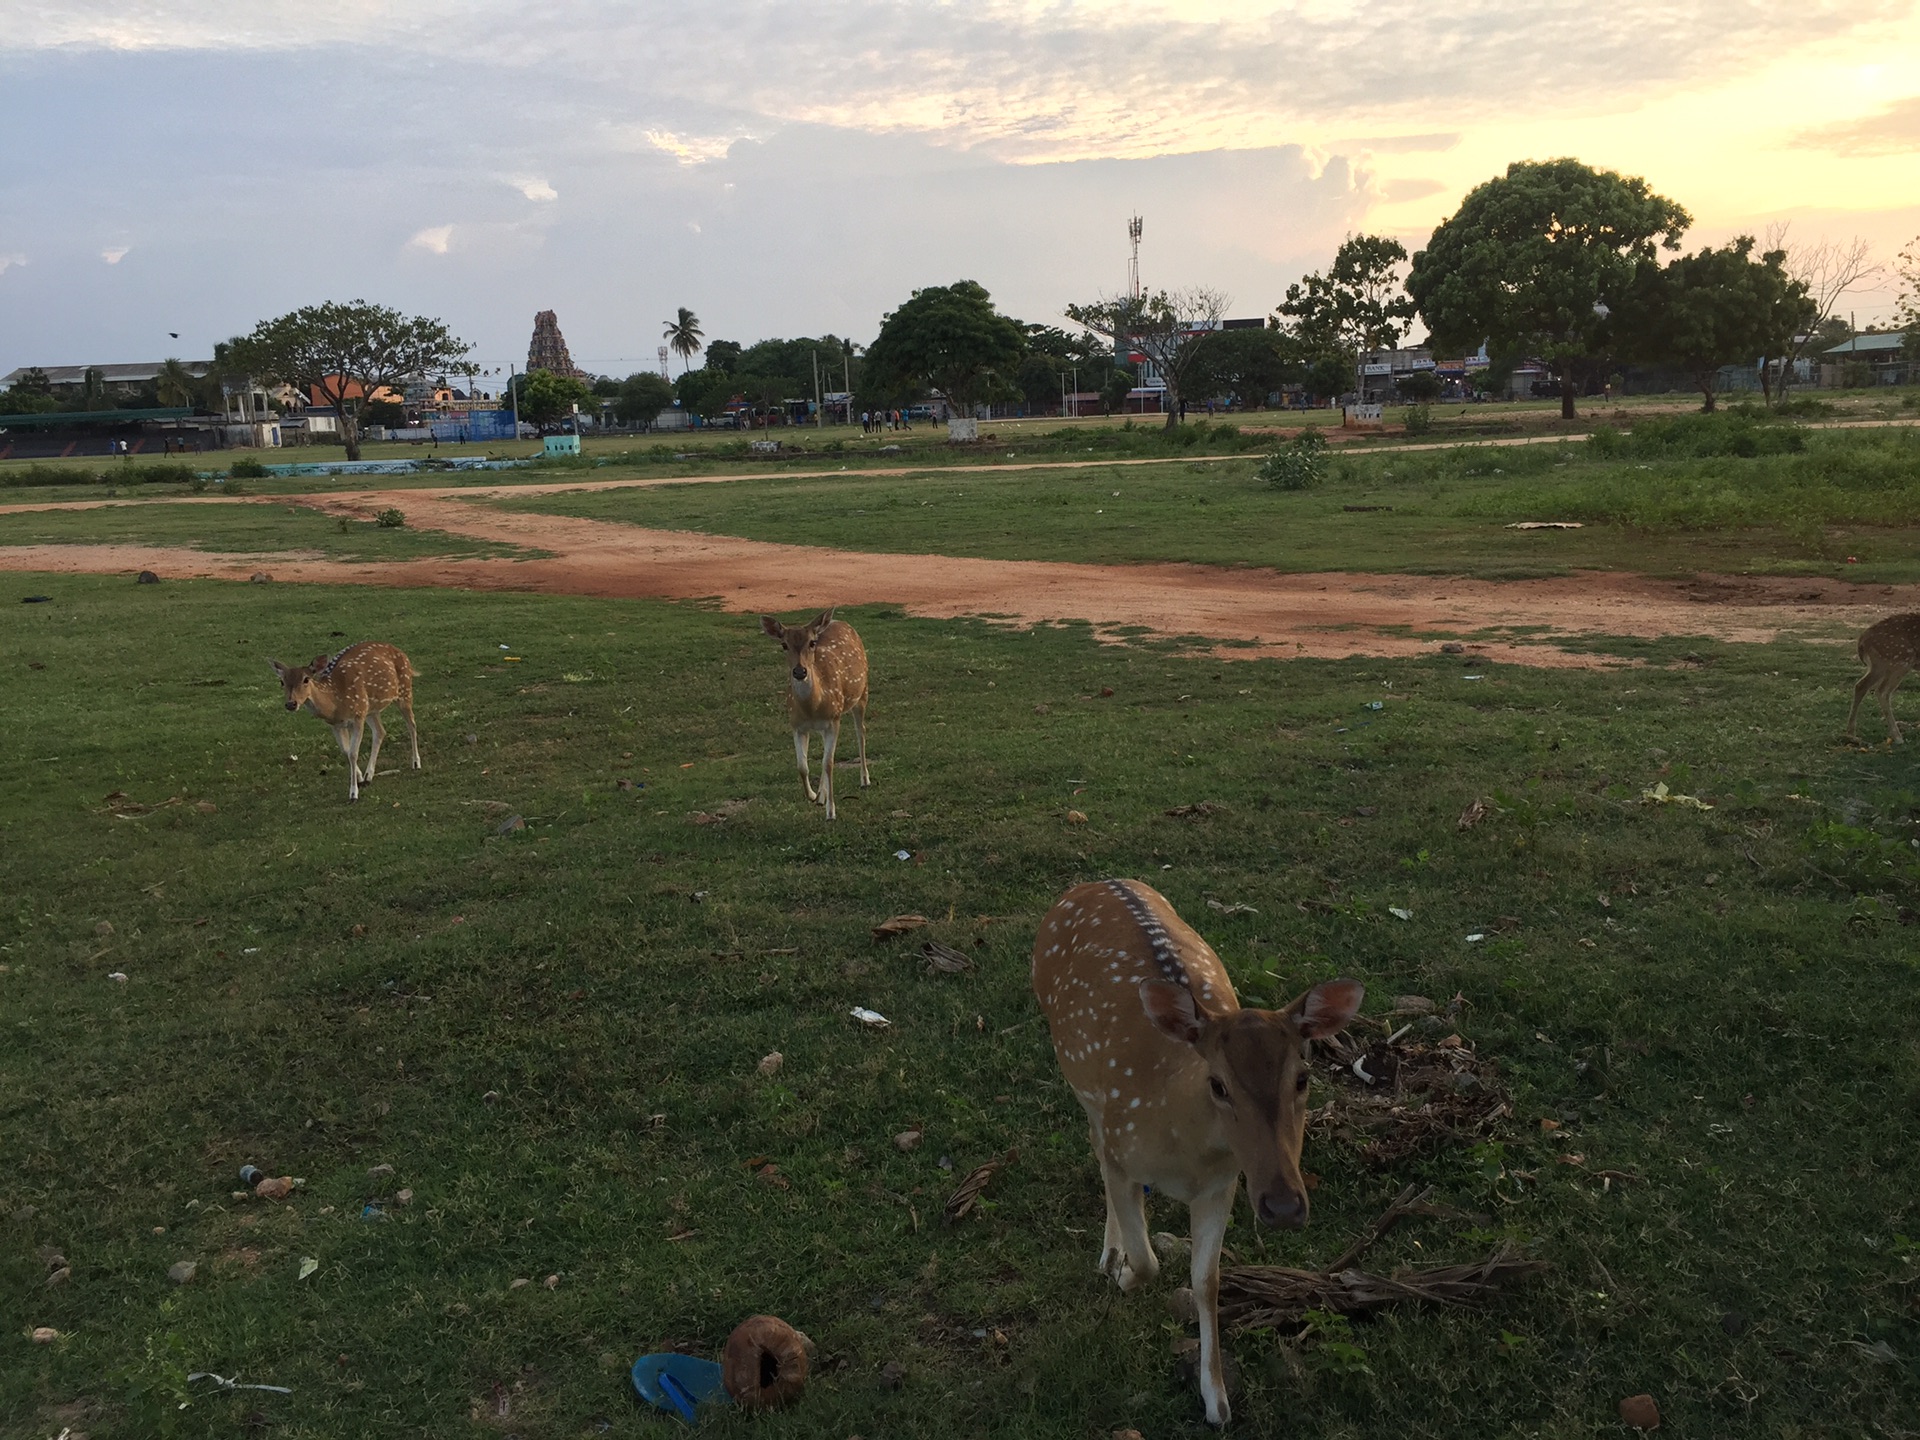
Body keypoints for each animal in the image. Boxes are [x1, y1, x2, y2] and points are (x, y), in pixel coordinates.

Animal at [266, 641, 420, 802]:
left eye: (306, 679)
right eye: (282, 682)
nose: (291, 704)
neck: (336, 703)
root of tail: (400, 651)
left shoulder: (358, 716)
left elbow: (353, 753)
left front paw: (353, 793)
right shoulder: (336, 725)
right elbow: (346, 751)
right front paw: (360, 778)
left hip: (404, 690)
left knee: (411, 724)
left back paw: (416, 763)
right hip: (371, 708)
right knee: (380, 731)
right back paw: (369, 775)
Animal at [756, 606, 871, 821]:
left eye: (811, 642)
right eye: (784, 644)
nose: (800, 671)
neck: (812, 707)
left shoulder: (833, 720)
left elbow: (829, 764)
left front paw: (831, 812)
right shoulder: (797, 725)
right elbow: (802, 766)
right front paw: (812, 796)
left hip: (862, 693)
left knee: (861, 733)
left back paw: (865, 780)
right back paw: (821, 796)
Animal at [1036, 879, 1367, 1436]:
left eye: (1304, 1077)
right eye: (1218, 1083)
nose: (1283, 1206)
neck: (1184, 1154)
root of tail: (1096, 882)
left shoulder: (1223, 1184)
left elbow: (1206, 1282)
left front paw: (1217, 1401)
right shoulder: (1124, 1144)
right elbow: (1146, 1259)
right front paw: (1121, 1273)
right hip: (1080, 1078)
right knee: (1094, 1142)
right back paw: (1108, 1254)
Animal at [1843, 610, 1920, 744]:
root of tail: (1861, 642)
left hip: (1881, 665)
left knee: (1861, 685)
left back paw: (1851, 734)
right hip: (1901, 659)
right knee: (1881, 691)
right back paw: (1897, 737)